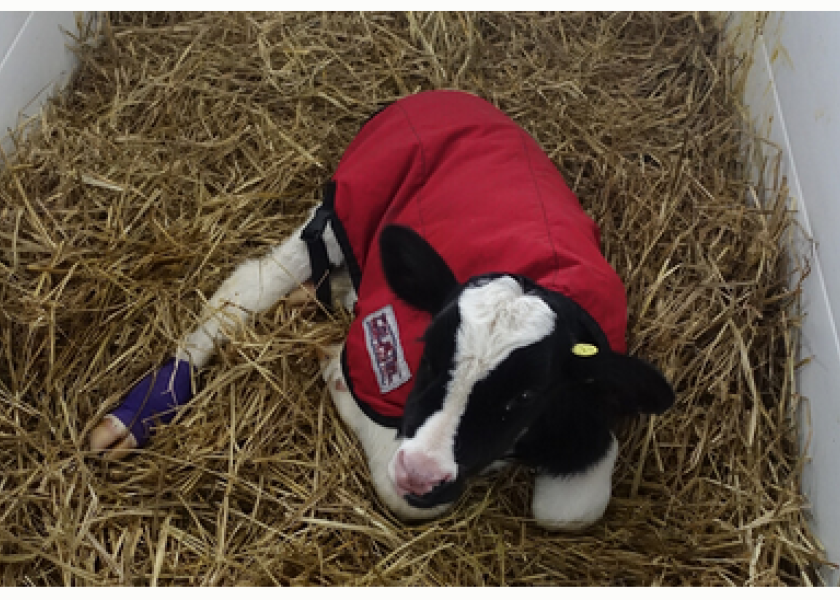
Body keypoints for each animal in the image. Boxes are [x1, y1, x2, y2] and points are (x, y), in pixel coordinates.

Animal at [88, 90, 672, 528]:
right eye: (428, 353)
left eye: (524, 395)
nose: (419, 471)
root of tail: (436, 94)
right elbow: (399, 490)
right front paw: (333, 372)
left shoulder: (586, 407)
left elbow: (570, 510)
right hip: (347, 206)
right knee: (252, 282)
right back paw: (144, 408)